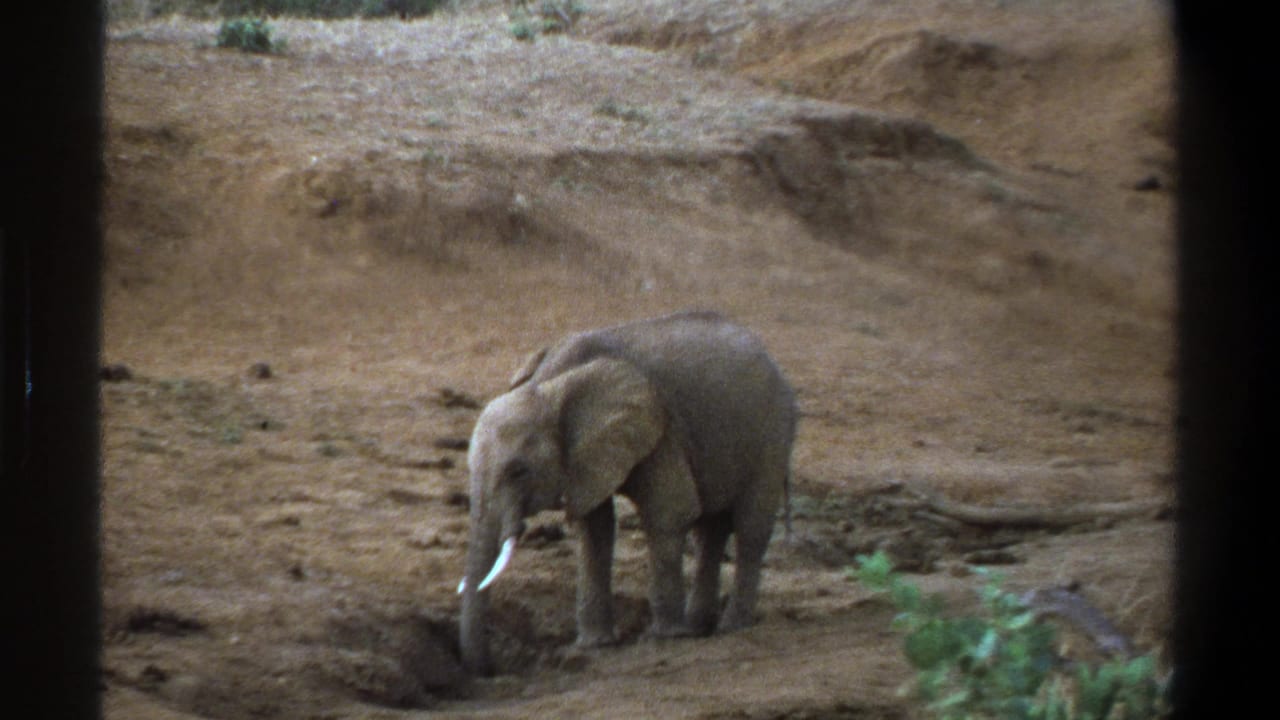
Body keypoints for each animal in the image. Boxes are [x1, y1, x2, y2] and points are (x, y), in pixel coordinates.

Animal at [456, 310, 797, 675]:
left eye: (518, 471)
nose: (489, 669)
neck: (548, 385)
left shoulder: (662, 429)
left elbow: (668, 512)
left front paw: (665, 637)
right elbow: (595, 527)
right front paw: (595, 645)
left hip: (772, 435)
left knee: (750, 528)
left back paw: (730, 626)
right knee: (711, 530)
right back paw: (698, 626)